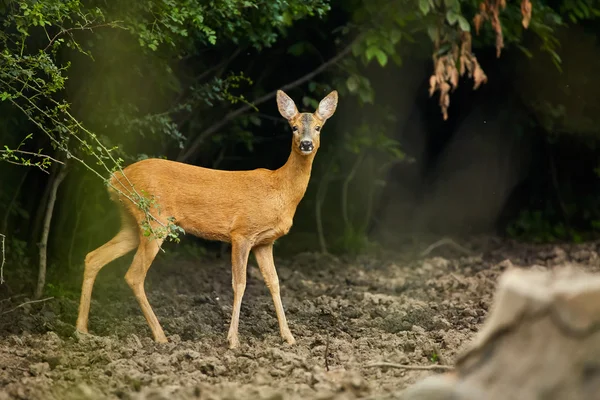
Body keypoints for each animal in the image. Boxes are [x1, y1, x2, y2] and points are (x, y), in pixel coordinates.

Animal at [75, 89, 338, 348]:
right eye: (293, 127)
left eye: (318, 127)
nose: (306, 144)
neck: (280, 190)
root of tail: (115, 179)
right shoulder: (241, 232)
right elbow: (239, 283)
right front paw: (233, 340)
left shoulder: (265, 242)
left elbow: (274, 282)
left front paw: (289, 337)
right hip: (155, 220)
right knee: (133, 275)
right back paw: (161, 337)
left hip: (133, 222)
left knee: (94, 257)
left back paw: (82, 330)